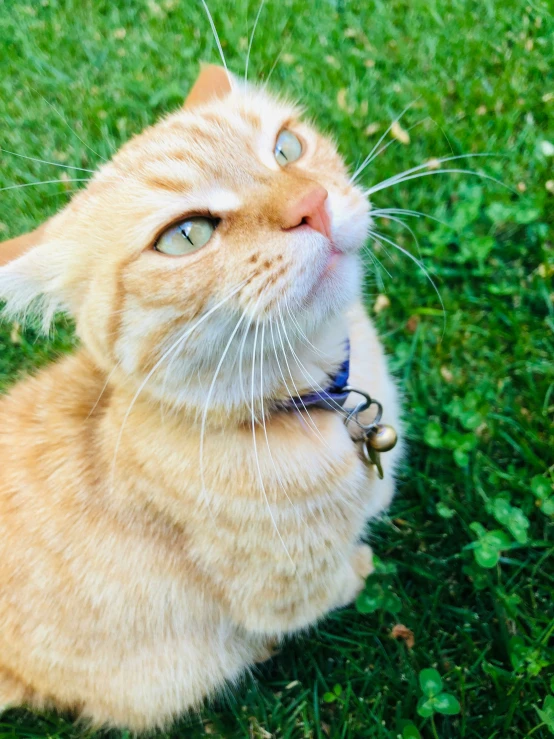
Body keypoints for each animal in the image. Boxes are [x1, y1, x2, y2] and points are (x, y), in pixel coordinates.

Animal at [0, 65, 398, 728]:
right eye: (186, 235)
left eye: (286, 148)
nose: (311, 204)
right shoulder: (286, 592)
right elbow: (333, 585)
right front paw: (362, 568)